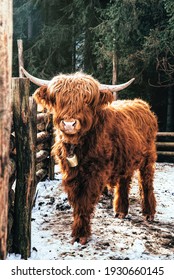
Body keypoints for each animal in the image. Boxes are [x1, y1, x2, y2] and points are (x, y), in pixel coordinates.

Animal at [21, 68, 158, 245]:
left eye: (86, 100)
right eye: (59, 99)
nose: (69, 124)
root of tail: (142, 104)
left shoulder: (94, 174)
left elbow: (85, 202)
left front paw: (81, 235)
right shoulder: (70, 173)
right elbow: (76, 202)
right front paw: (76, 233)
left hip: (148, 158)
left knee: (146, 183)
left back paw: (149, 213)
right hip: (125, 159)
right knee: (124, 182)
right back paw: (121, 211)